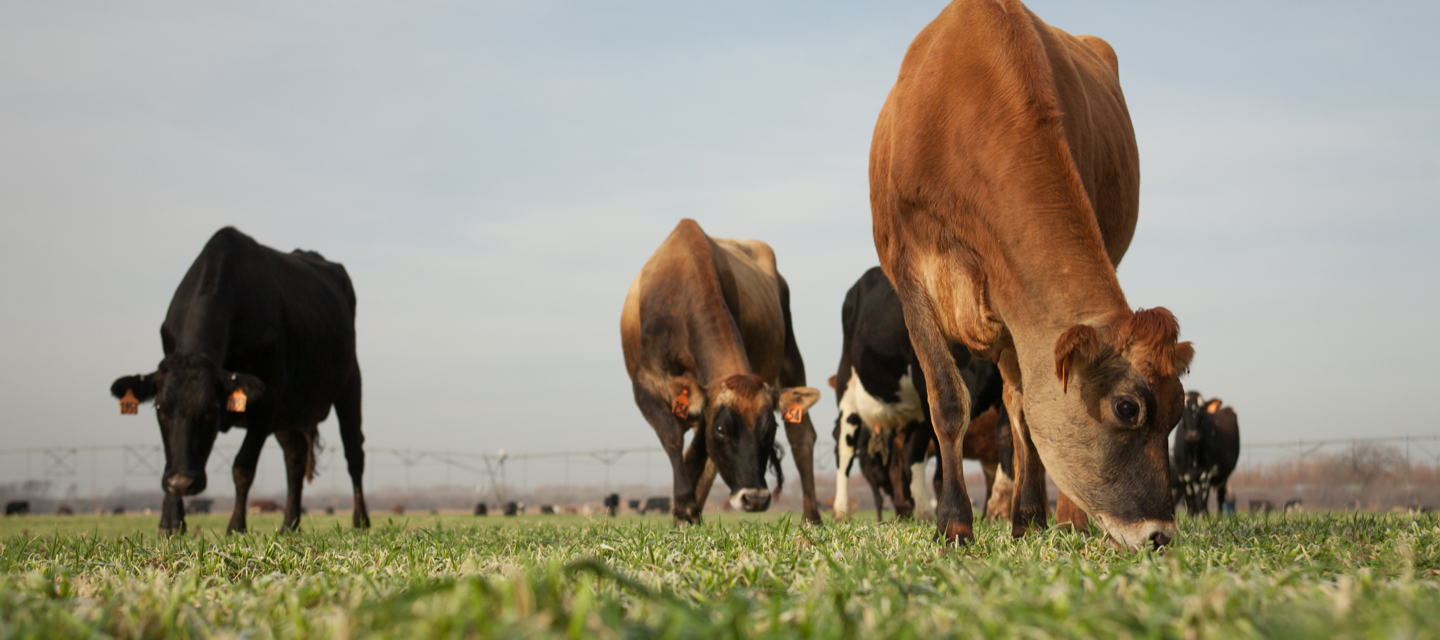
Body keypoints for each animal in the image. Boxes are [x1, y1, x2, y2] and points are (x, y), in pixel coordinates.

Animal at [113, 226, 371, 536]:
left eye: (210, 412)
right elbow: (169, 456)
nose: (183, 482)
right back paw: (289, 525)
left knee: (354, 453)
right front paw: (171, 524)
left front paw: (235, 527)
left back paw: (360, 520)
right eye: (161, 410)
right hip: (288, 413)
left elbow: (242, 467)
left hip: (350, 385)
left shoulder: (267, 399)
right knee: (295, 460)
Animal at [619, 220, 823, 524]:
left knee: (802, 437)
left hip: (791, 358)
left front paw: (686, 509)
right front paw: (685, 505)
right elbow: (672, 437)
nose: (755, 498)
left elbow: (696, 454)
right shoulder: (645, 384)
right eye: (721, 429)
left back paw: (812, 518)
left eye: (770, 430)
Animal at [829, 268, 1008, 521]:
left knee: (909, 453)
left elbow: (1006, 435)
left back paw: (923, 511)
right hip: (848, 385)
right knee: (845, 448)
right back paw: (841, 511)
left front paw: (1000, 507)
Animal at [864, 0, 1192, 550]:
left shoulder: (1019, 306)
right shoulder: (910, 279)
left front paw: (1034, 517)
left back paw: (1057, 518)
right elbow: (947, 402)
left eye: (1179, 412)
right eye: (1127, 408)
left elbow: (1022, 411)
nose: (1161, 534)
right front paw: (954, 523)